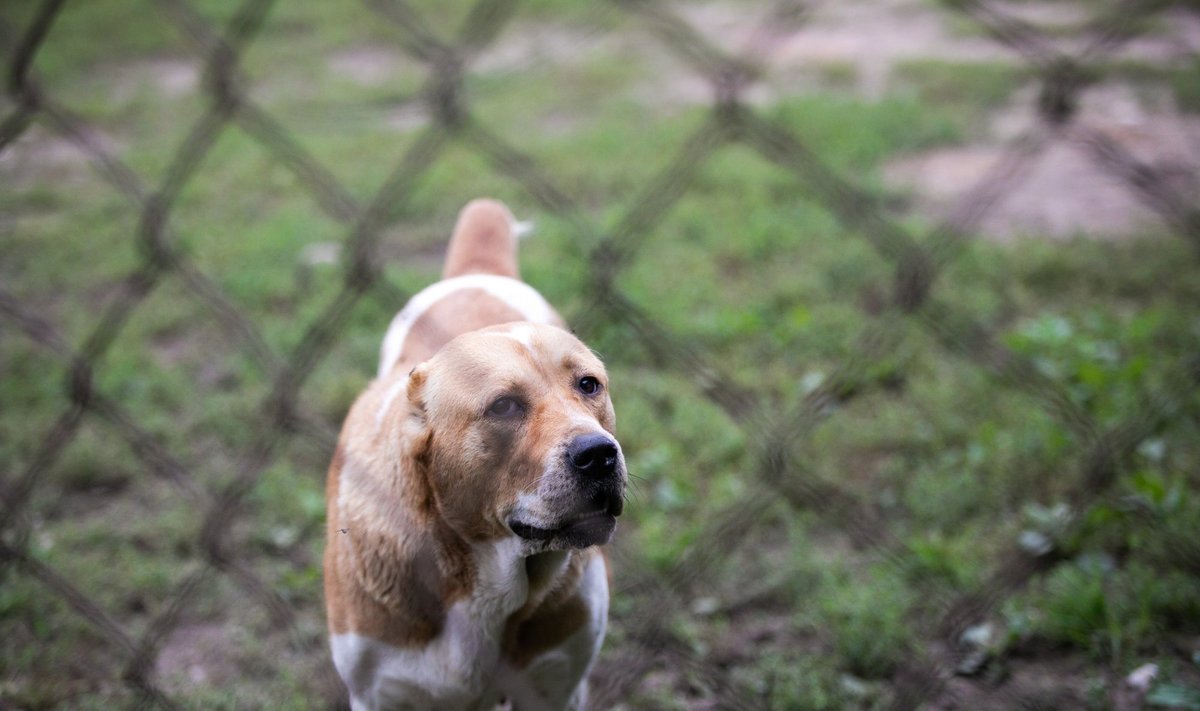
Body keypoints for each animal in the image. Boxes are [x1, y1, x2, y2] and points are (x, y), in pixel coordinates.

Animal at [326, 198, 628, 711]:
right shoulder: (376, 694)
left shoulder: (558, 688)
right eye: (503, 406)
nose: (600, 455)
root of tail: (475, 271)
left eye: (589, 385)